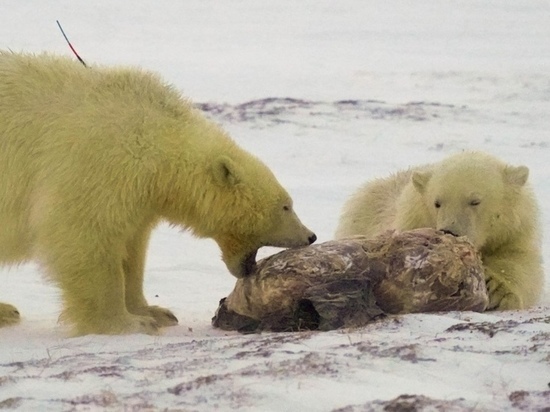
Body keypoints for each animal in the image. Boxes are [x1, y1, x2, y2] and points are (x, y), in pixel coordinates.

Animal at [0, 50, 320, 334]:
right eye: (286, 206)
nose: (310, 236)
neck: (154, 139)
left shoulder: (136, 195)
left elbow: (132, 250)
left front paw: (155, 312)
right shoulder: (97, 165)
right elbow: (84, 236)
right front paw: (126, 324)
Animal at [336, 150, 544, 308]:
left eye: (475, 201)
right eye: (437, 203)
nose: (449, 231)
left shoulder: (514, 232)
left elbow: (521, 262)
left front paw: (496, 289)